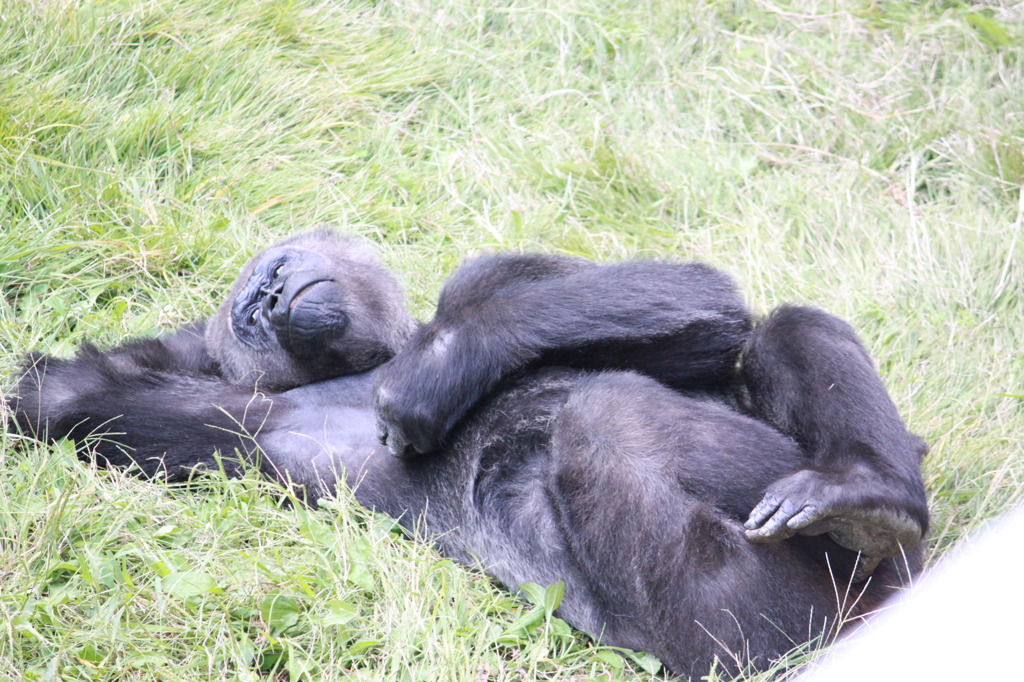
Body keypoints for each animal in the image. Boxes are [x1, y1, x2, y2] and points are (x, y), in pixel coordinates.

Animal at [12, 229, 933, 679]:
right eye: (249, 309)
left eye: (275, 268)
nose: (268, 296)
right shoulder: (254, 424)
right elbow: (72, 401)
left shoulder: (494, 274)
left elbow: (702, 306)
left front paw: (443, 366)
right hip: (792, 636)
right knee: (614, 426)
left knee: (779, 329)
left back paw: (868, 492)